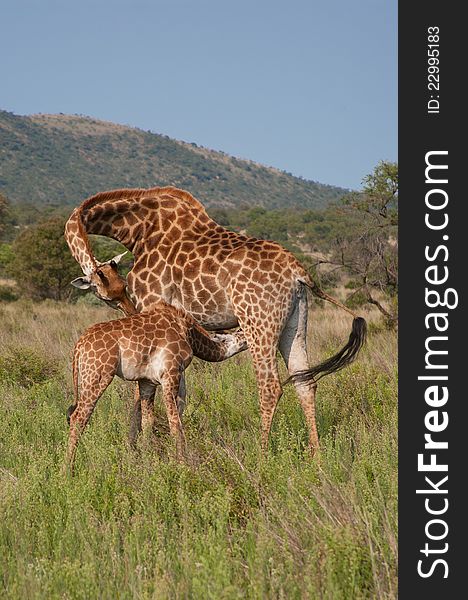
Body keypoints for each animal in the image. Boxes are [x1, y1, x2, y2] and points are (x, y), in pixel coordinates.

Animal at [65, 185, 366, 452]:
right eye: (111, 294)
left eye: (122, 290)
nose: (130, 310)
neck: (138, 230)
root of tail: (299, 271)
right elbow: (177, 397)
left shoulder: (153, 308)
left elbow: (146, 392)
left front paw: (136, 450)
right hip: (295, 323)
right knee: (305, 382)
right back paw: (317, 459)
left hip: (259, 321)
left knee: (270, 388)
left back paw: (262, 457)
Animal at [68, 302, 249, 472]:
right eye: (243, 332)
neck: (190, 334)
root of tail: (79, 346)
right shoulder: (170, 373)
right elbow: (175, 421)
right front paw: (182, 464)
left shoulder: (147, 381)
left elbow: (148, 421)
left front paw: (147, 460)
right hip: (98, 375)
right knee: (78, 417)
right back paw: (68, 471)